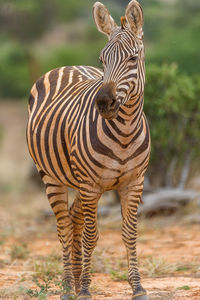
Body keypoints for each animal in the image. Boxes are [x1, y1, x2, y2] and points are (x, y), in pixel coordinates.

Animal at [27, 0, 150, 300]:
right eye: (102, 60)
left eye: (132, 59)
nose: (104, 102)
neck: (125, 133)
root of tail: (67, 65)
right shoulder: (91, 185)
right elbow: (91, 236)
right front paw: (84, 289)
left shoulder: (134, 182)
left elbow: (130, 234)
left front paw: (138, 287)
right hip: (52, 176)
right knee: (64, 226)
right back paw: (67, 286)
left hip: (80, 182)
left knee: (74, 219)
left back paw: (74, 278)